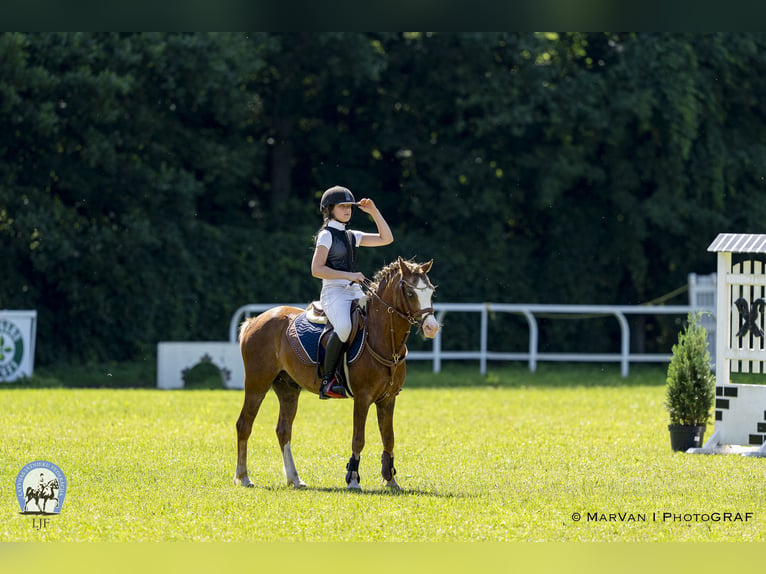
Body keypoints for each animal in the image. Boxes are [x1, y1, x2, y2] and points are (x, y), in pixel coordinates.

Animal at [234, 258, 440, 492]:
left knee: (283, 430)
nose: (432, 327)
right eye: (411, 292)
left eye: (431, 291)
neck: (381, 338)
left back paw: (295, 478)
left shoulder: (387, 399)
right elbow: (358, 439)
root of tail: (255, 320)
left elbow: (389, 438)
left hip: (288, 388)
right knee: (244, 424)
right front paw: (353, 479)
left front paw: (390, 479)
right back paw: (244, 477)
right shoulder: (362, 397)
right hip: (257, 383)